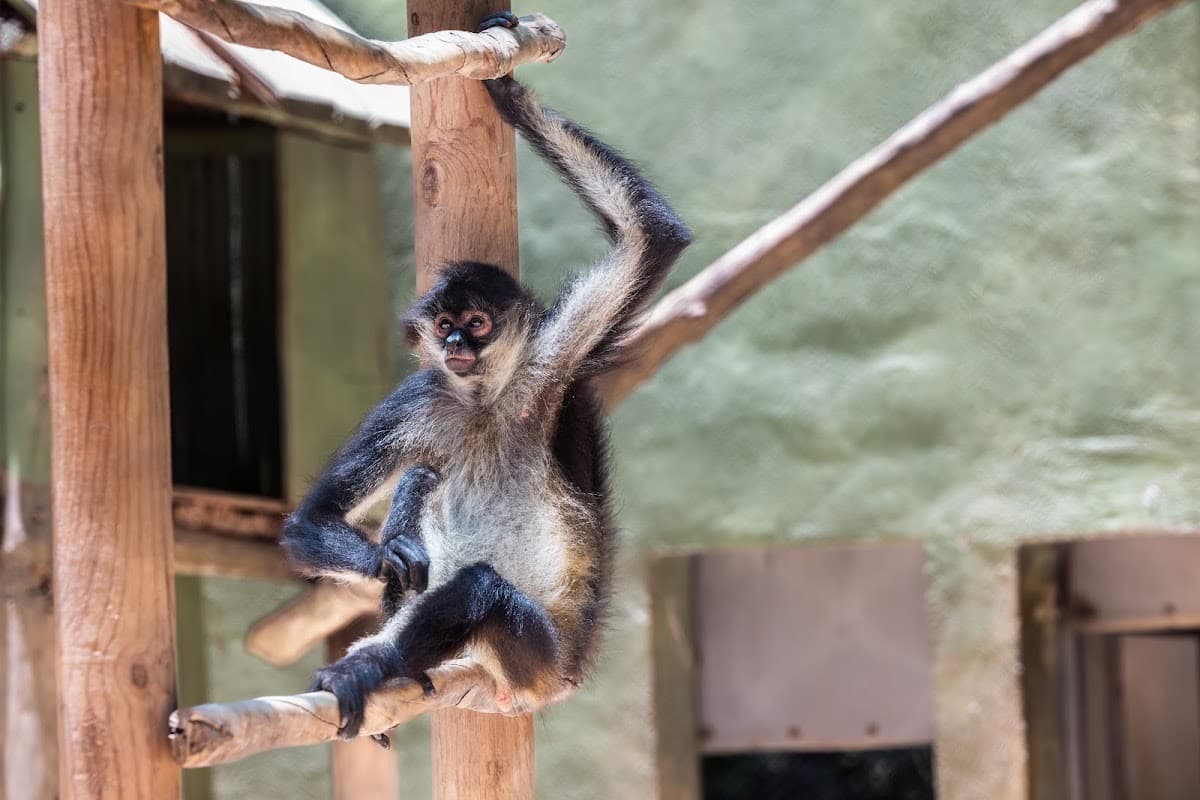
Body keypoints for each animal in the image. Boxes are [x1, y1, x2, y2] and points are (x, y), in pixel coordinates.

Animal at [279, 10, 691, 741]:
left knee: (479, 589)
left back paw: (369, 664)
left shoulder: (551, 360)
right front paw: (386, 558)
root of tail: (562, 670)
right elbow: (310, 520)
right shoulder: (421, 395)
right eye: (444, 323)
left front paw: (507, 84)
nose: (452, 343)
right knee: (423, 494)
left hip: (534, 651)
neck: (481, 400)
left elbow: (653, 234)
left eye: (475, 322)